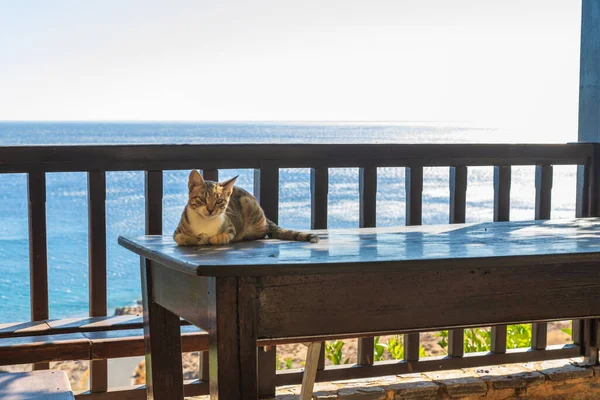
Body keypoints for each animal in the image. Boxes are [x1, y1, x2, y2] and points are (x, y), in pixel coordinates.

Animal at [173, 170, 318, 245]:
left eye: (219, 201)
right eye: (203, 199)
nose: (210, 210)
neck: (205, 222)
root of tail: (265, 218)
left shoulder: (231, 227)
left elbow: (221, 237)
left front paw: (210, 238)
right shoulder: (177, 232)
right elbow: (181, 238)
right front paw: (197, 238)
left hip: (249, 207)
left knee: (264, 231)